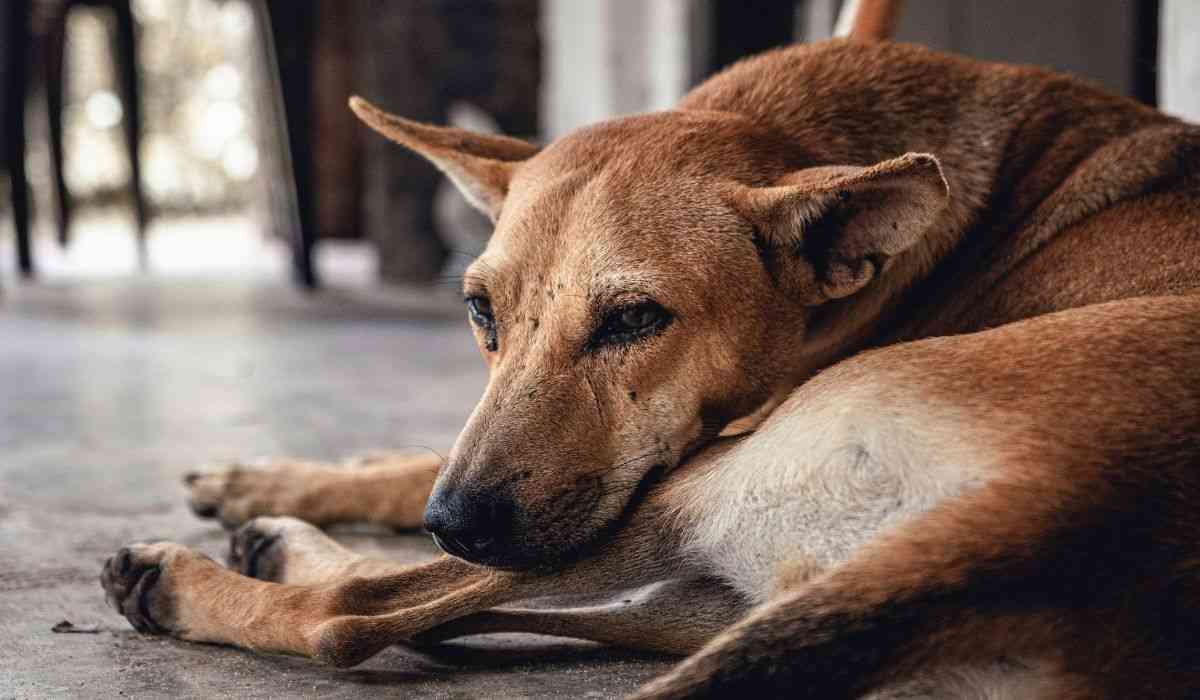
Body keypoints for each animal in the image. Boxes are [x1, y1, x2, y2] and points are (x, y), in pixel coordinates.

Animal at [103, 4, 1200, 696]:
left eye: (634, 320)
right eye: (479, 311)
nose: (456, 522)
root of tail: (1042, 525)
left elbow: (398, 533)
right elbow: (412, 464)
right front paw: (278, 474)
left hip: (684, 492)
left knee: (356, 612)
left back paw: (194, 578)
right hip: (707, 588)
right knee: (435, 610)